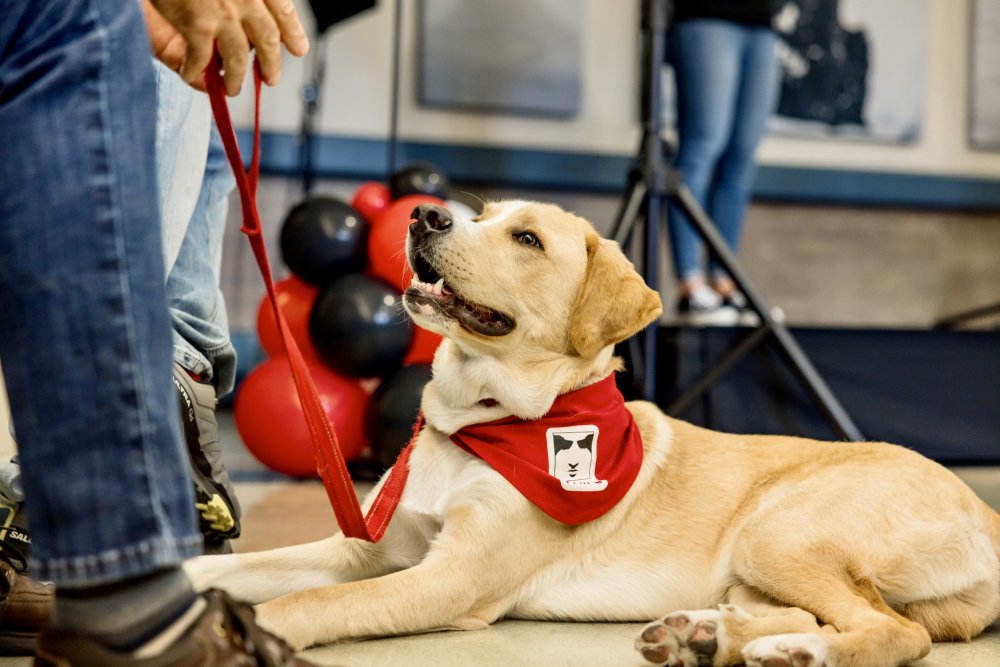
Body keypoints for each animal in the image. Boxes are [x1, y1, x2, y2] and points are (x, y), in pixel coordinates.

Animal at [186, 202, 1000, 667]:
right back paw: (708, 637)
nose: (423, 215)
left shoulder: (450, 579)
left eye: (525, 238)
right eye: (481, 213)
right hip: (755, 564)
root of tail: (986, 511)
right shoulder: (362, 548)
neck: (479, 421)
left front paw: (256, 632)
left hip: (778, 530)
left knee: (895, 632)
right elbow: (243, 569)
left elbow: (309, 605)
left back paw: (798, 650)